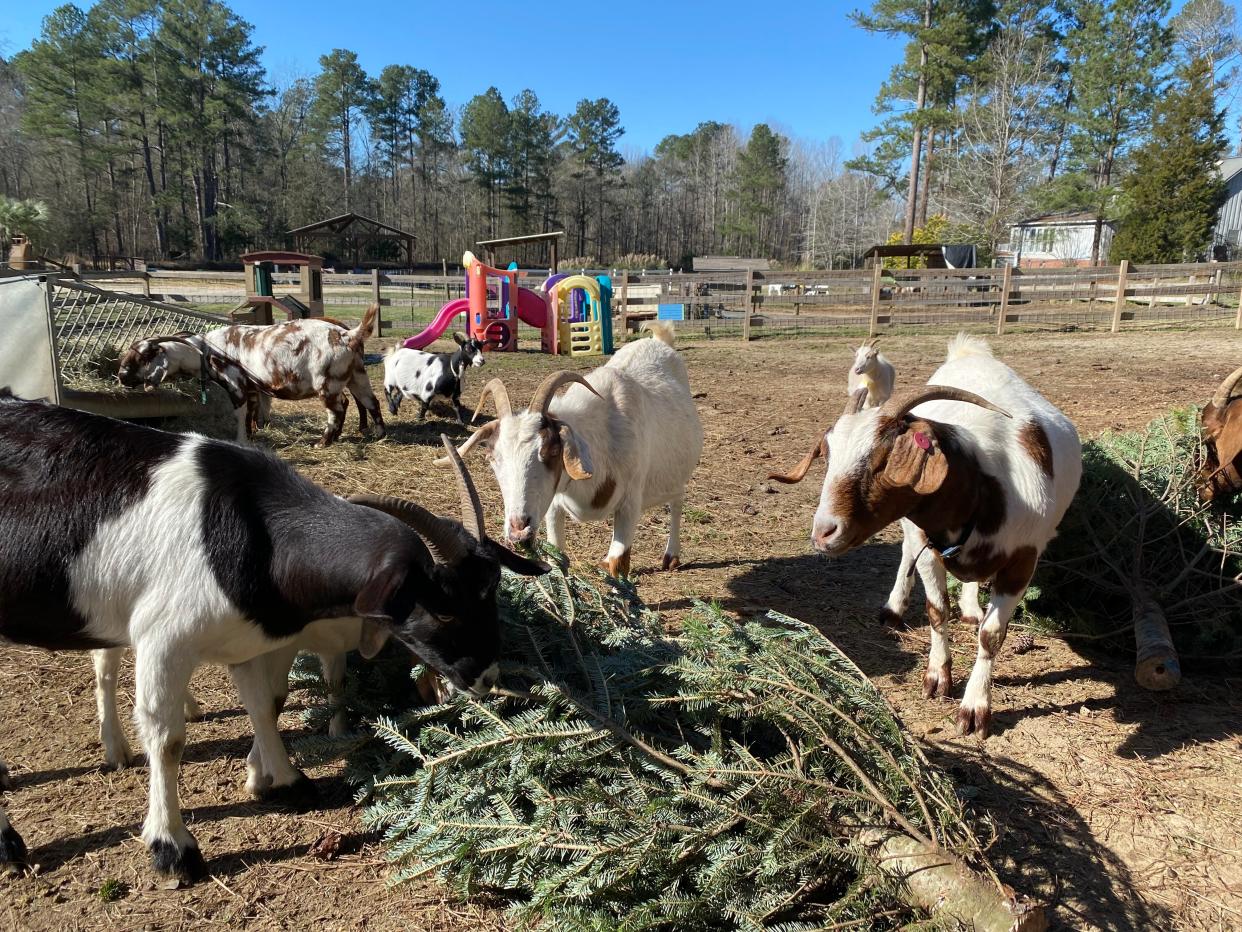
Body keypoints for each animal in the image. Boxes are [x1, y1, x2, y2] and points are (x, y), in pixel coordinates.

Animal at [0, 395, 543, 884]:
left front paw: (285, 782)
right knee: (107, 669)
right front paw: (173, 848)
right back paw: (21, 834)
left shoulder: (246, 638)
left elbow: (265, 704)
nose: (488, 676)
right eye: (443, 608)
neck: (247, 533)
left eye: (492, 590)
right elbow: (167, 738)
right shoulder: (163, 640)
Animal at [121, 306, 385, 449]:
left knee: (337, 410)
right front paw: (252, 434)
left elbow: (238, 413)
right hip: (356, 375)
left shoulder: (235, 384)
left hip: (327, 383)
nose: (121, 377)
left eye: (141, 356)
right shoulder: (252, 388)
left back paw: (323, 442)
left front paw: (240, 440)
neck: (206, 350)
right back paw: (378, 434)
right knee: (370, 401)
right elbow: (251, 412)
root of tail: (348, 335)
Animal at [770, 335, 1083, 735]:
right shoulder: (927, 543)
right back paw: (894, 608)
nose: (824, 532)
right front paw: (937, 677)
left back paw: (971, 608)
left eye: (883, 459)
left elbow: (991, 635)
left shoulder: (1023, 559)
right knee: (906, 553)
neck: (984, 491)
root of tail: (970, 353)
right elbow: (936, 611)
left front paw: (975, 708)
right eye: (826, 456)